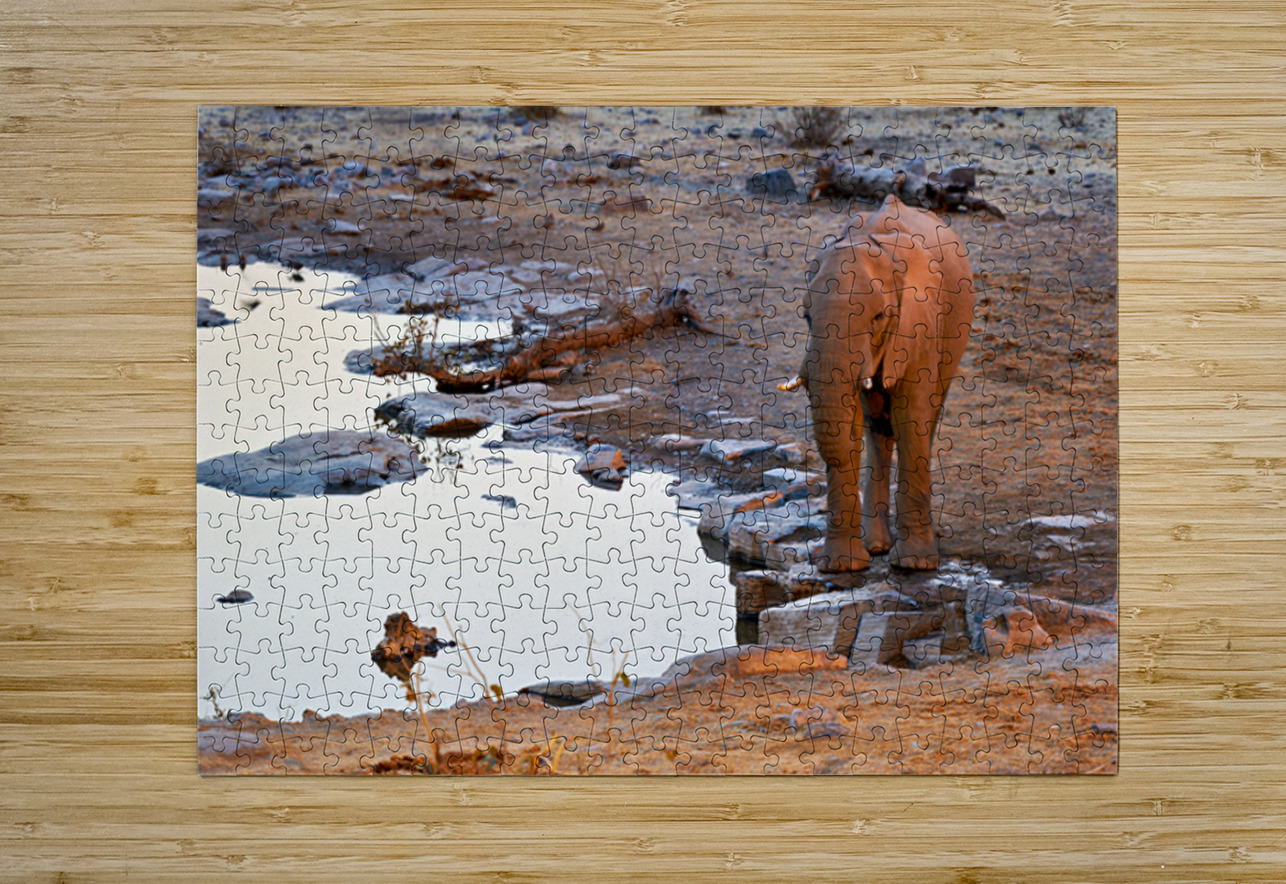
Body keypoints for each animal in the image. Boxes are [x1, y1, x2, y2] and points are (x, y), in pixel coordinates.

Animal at [800, 194, 977, 571]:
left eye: (880, 316)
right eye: (806, 316)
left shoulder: (920, 321)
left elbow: (910, 418)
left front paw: (915, 565)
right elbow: (851, 421)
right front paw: (842, 567)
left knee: (926, 417)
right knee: (877, 428)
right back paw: (877, 546)